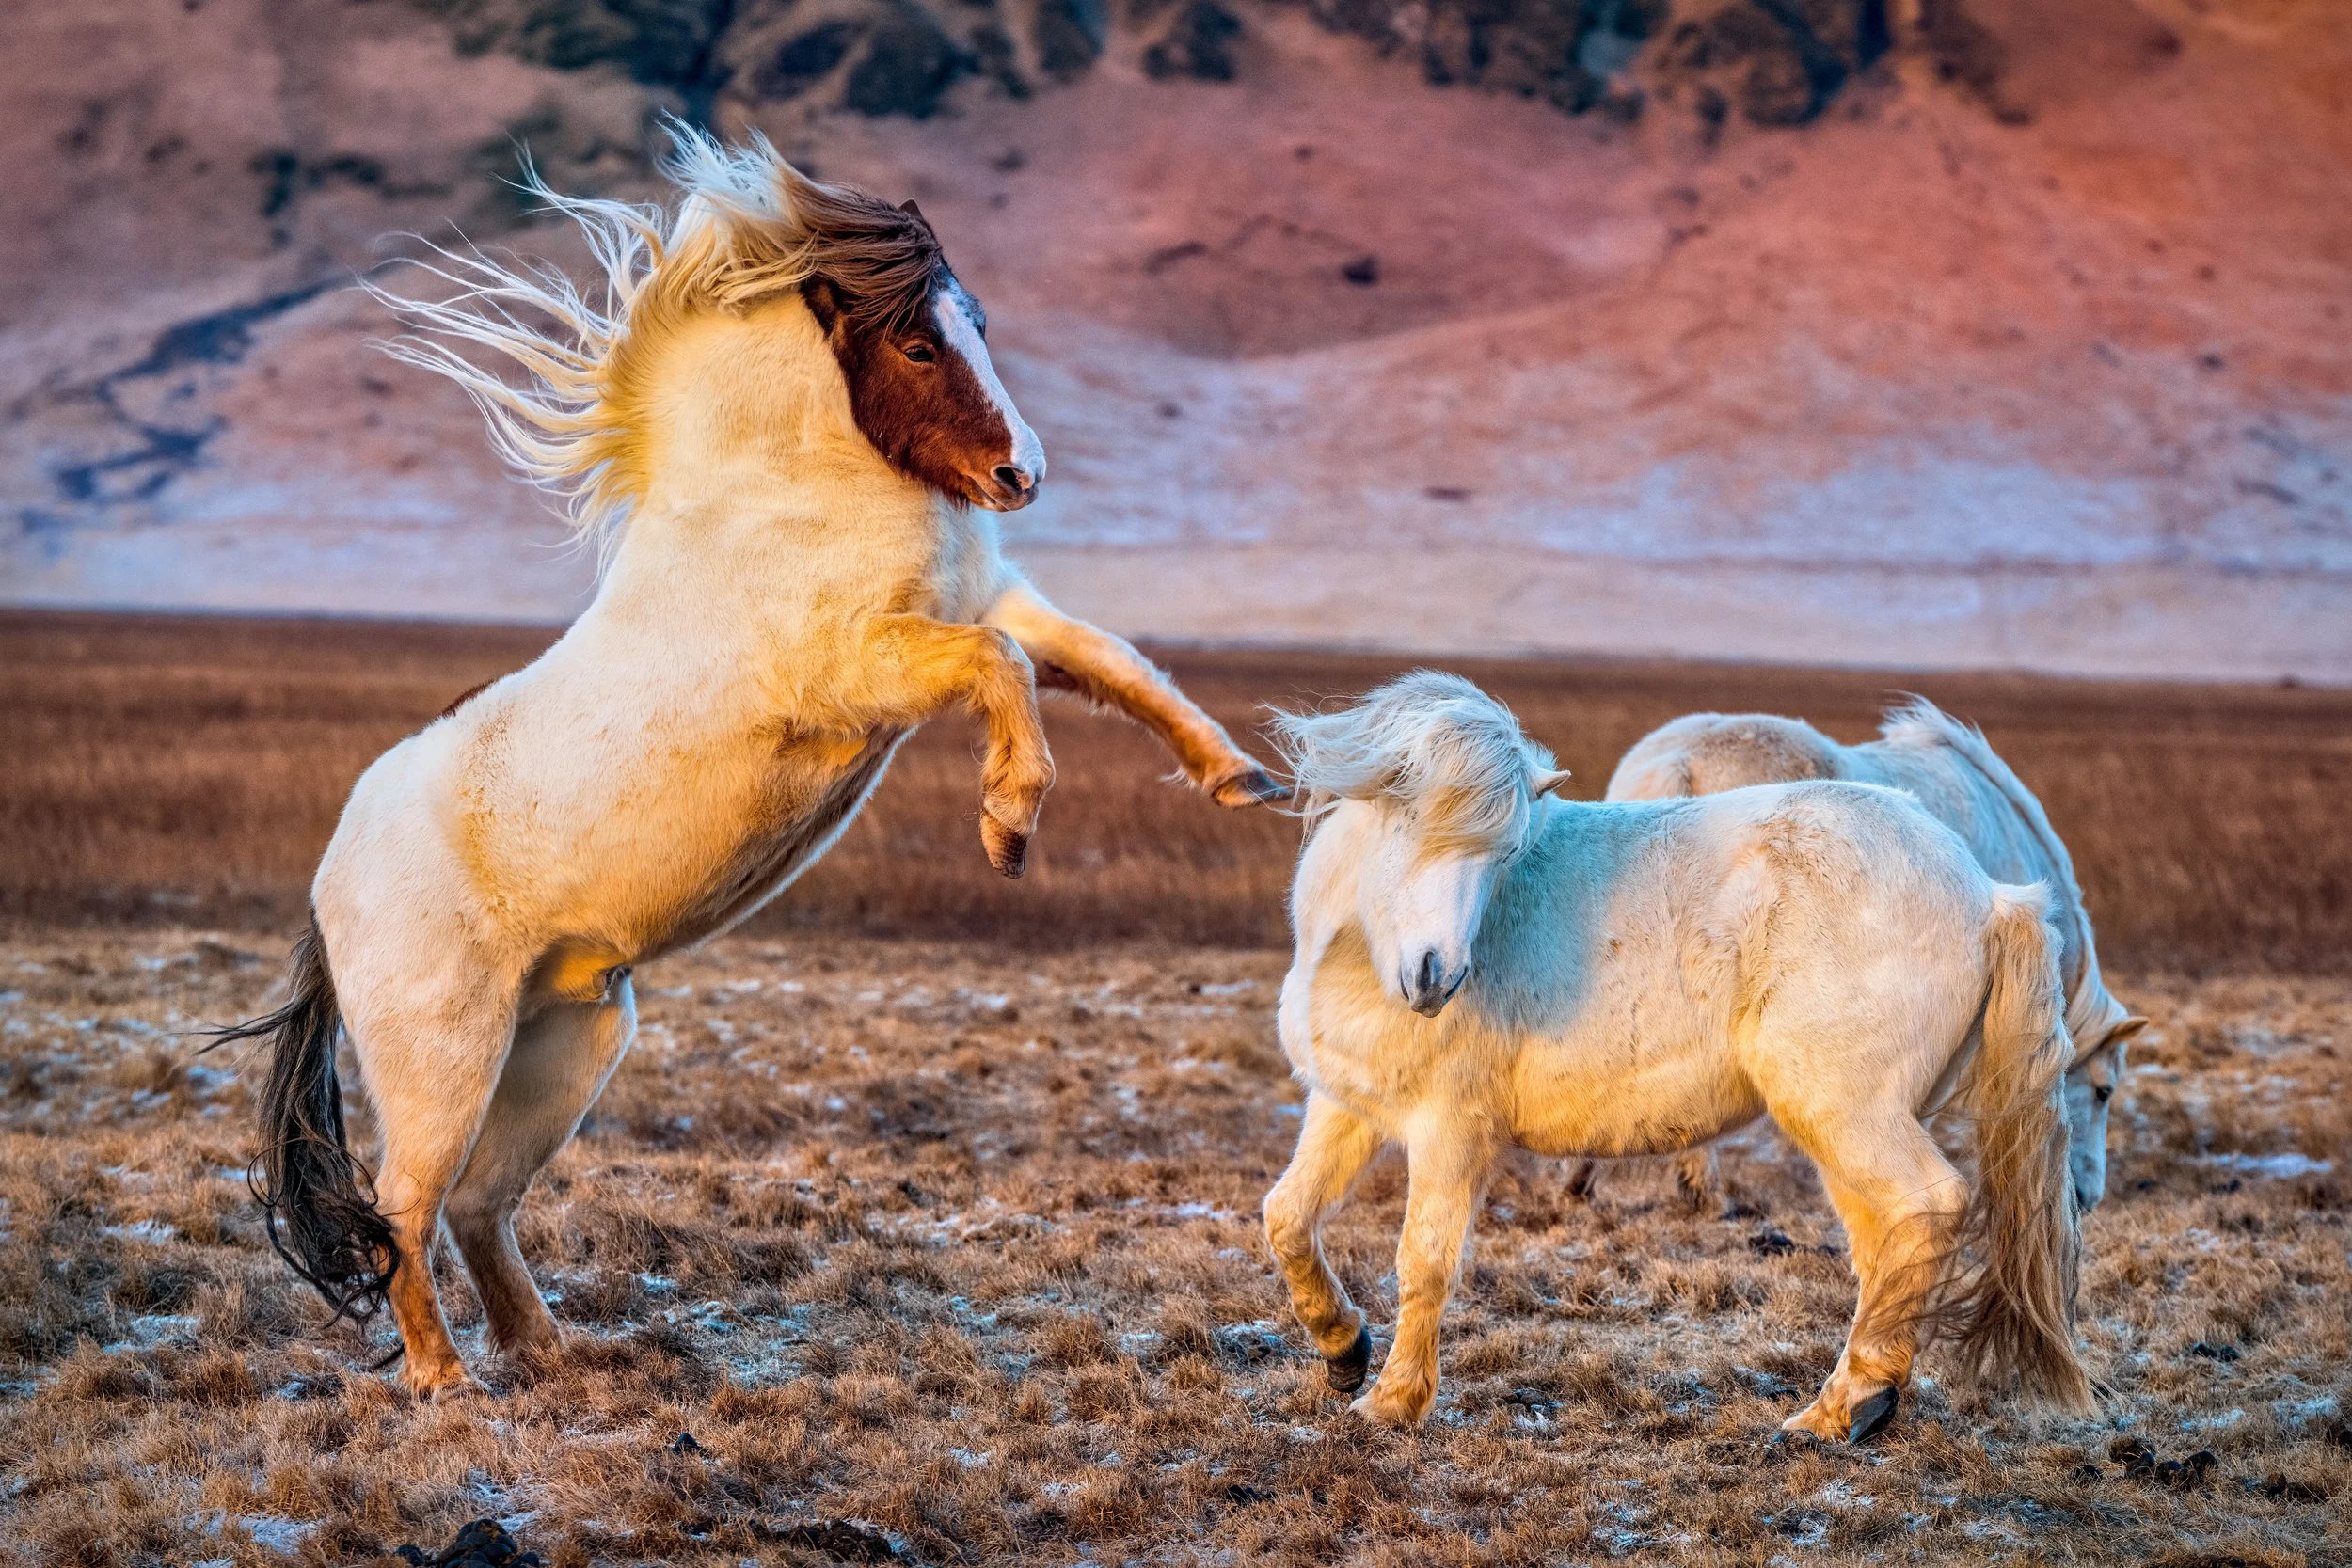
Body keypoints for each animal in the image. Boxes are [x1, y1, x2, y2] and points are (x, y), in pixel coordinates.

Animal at [215, 125, 1284, 1399]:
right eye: (918, 338)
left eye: (978, 318)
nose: (1020, 473)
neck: (779, 502)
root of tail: (330, 888)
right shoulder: (866, 671)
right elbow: (1007, 669)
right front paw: (1007, 826)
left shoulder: (988, 597)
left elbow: (1101, 660)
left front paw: (1242, 780)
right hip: (444, 1058)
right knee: (403, 1204)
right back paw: (445, 1381)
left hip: (566, 1045)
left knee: (478, 1204)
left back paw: (557, 1352)